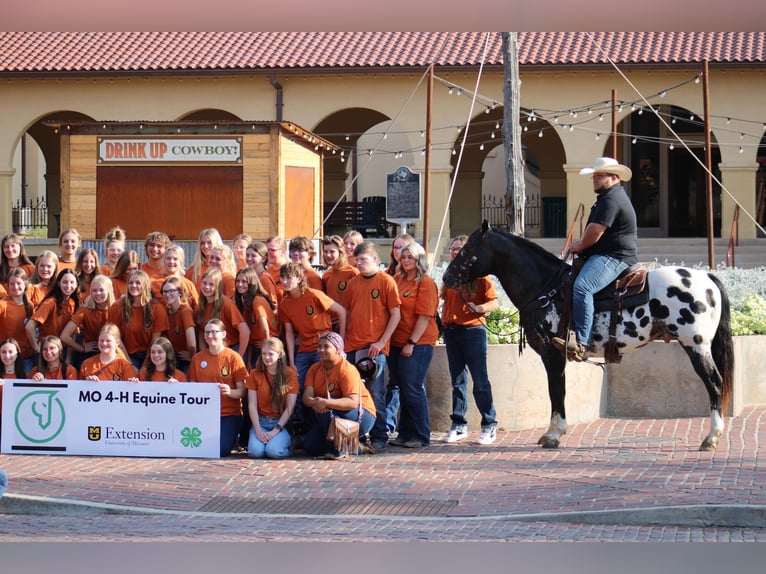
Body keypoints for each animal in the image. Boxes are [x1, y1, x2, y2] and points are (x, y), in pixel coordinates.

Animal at [444, 223, 736, 452]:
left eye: (467, 249)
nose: (446, 276)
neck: (546, 289)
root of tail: (707, 277)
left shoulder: (553, 353)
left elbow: (556, 390)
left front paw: (554, 434)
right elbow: (555, 391)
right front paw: (551, 432)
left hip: (696, 346)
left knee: (714, 383)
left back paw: (711, 437)